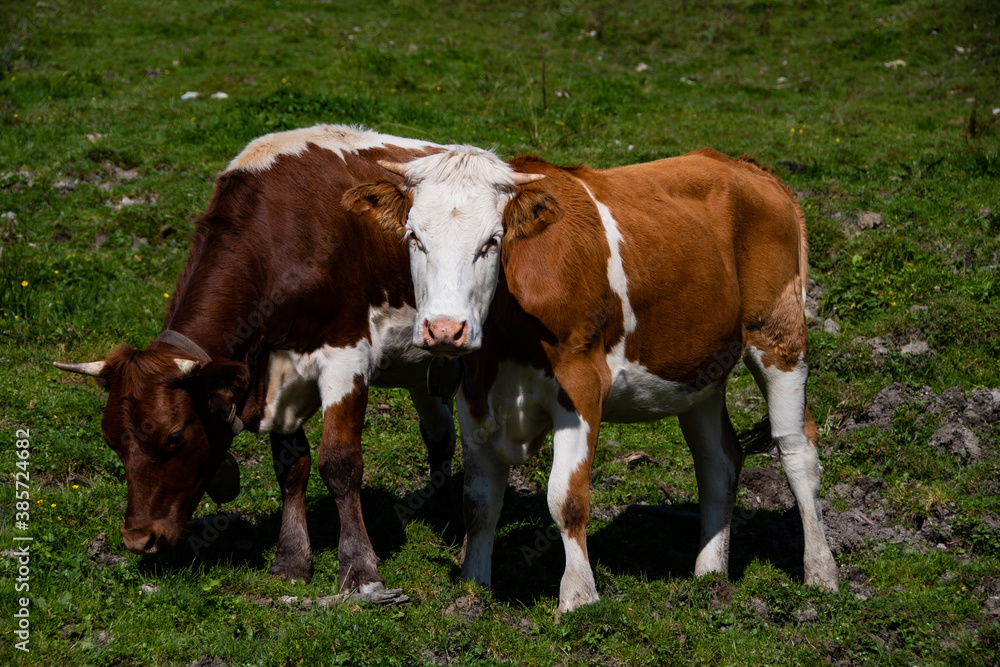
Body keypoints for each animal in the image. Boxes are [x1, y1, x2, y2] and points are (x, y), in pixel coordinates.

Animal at [55, 125, 458, 596]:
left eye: (175, 437)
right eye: (111, 441)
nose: (140, 538)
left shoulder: (346, 355)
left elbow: (340, 463)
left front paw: (360, 567)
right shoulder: (275, 374)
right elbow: (291, 468)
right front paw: (292, 559)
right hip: (420, 364)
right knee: (439, 432)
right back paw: (443, 510)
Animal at [348, 147, 840, 616]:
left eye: (492, 241)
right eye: (414, 238)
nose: (445, 330)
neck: (508, 333)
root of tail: (748, 168)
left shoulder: (581, 385)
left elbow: (566, 499)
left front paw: (578, 597)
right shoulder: (475, 395)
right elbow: (479, 504)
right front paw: (474, 587)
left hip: (779, 336)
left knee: (797, 451)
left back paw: (821, 573)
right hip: (701, 365)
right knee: (719, 461)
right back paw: (709, 574)